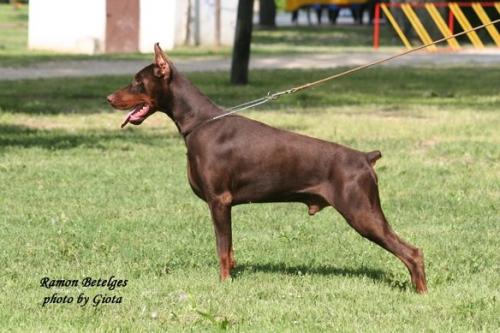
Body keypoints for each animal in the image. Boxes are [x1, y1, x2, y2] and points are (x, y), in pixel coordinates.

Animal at [107, 42, 428, 292]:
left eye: (138, 81)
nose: (109, 98)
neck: (199, 123)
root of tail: (364, 157)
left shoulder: (219, 201)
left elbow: (222, 249)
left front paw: (224, 285)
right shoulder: (223, 205)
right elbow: (230, 251)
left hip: (361, 211)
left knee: (412, 252)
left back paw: (421, 292)